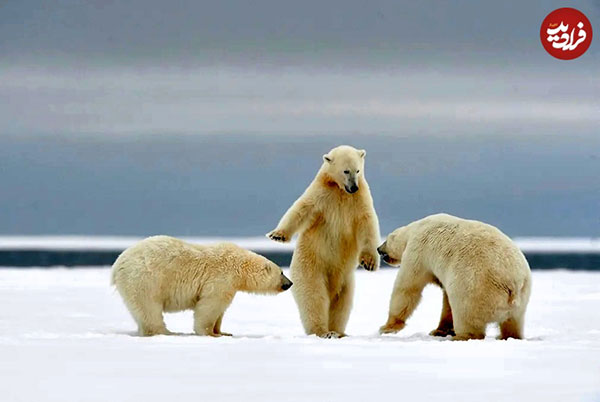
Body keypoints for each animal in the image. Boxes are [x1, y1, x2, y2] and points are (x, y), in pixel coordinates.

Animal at [112, 236, 292, 336]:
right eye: (282, 272)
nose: (289, 283)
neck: (240, 265)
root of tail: (117, 265)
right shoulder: (221, 278)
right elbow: (210, 306)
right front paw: (210, 333)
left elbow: (220, 311)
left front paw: (223, 331)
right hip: (145, 279)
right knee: (149, 308)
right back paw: (167, 332)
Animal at [268, 145, 380, 340]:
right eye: (346, 171)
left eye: (358, 170)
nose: (353, 187)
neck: (340, 191)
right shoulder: (321, 195)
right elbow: (301, 209)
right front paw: (277, 235)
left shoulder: (360, 200)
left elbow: (367, 225)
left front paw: (369, 263)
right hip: (311, 267)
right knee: (314, 297)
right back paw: (323, 331)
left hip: (346, 280)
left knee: (342, 303)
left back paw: (339, 332)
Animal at [378, 214, 532, 340]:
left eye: (386, 240)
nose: (379, 249)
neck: (416, 227)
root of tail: (513, 283)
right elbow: (446, 301)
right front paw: (439, 330)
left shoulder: (418, 251)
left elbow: (408, 287)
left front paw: (386, 327)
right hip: (522, 298)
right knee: (513, 322)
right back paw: (508, 336)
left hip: (475, 286)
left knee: (465, 313)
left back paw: (461, 336)